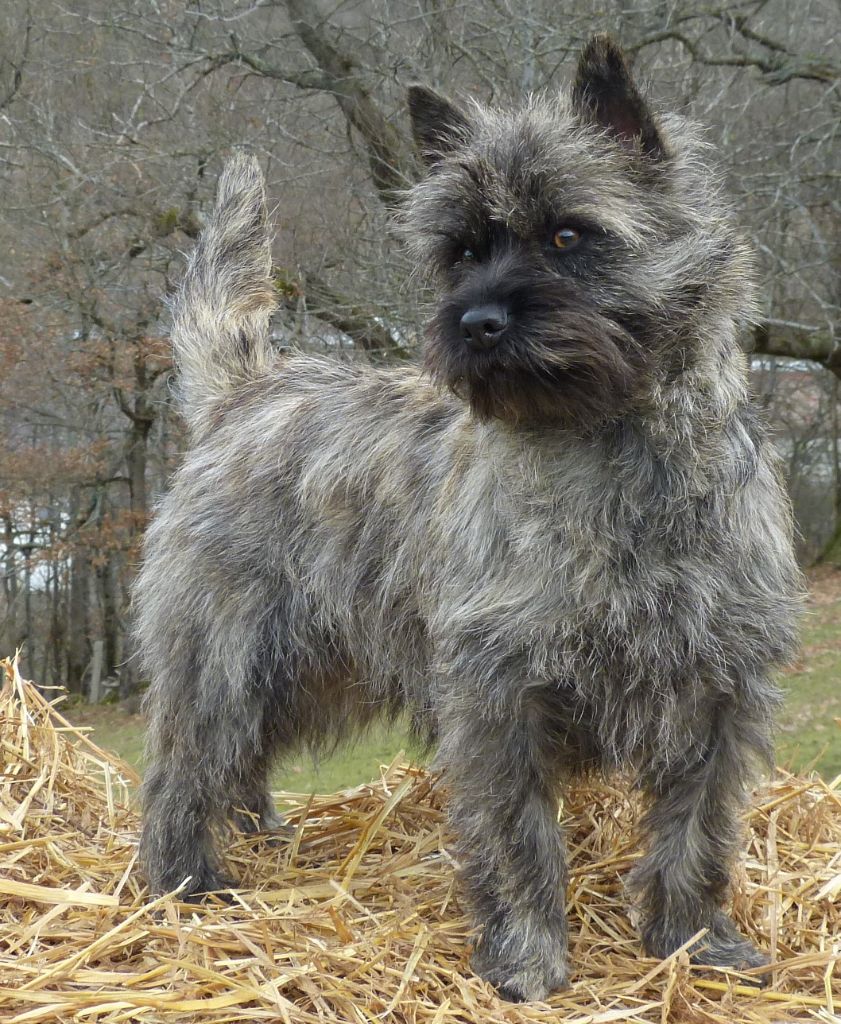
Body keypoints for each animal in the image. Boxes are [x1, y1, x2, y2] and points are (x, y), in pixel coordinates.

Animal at [136, 36, 802, 1002]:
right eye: (459, 252)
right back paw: (185, 887)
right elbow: (518, 841)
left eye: (567, 235)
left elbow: (697, 837)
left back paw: (259, 841)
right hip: (224, 657)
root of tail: (247, 392)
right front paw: (526, 963)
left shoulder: (718, 692)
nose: (477, 321)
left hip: (305, 670)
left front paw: (694, 946)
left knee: (241, 762)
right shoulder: (497, 697)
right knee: (183, 769)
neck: (613, 465)